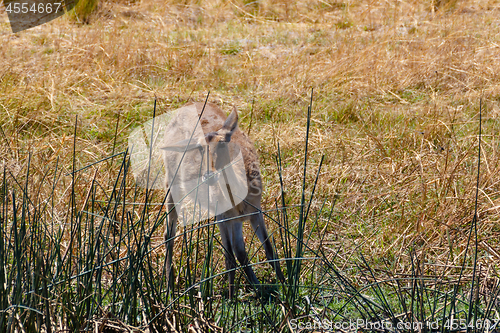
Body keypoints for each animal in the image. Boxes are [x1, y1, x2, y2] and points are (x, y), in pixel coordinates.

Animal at [161, 101, 284, 296]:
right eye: (199, 148)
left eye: (222, 143)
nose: (209, 175)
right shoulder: (222, 216)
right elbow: (229, 257)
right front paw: (231, 298)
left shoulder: (255, 210)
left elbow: (268, 250)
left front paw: (286, 287)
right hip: (171, 185)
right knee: (169, 234)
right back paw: (168, 287)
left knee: (240, 249)